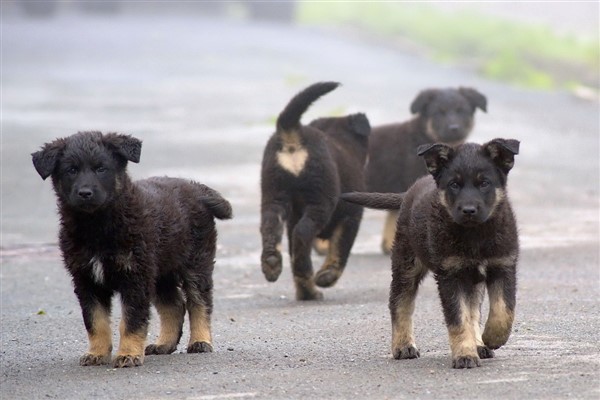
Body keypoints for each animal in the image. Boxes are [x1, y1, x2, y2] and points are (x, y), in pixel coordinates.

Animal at [29, 132, 232, 368]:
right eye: (71, 170)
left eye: (101, 169)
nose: (85, 193)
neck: (97, 226)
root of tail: (197, 188)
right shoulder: (86, 279)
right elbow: (95, 321)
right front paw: (97, 353)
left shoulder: (135, 276)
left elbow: (131, 320)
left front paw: (128, 354)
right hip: (160, 271)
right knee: (174, 305)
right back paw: (164, 344)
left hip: (195, 263)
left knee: (200, 302)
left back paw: (200, 341)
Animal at [258, 81, 368, 300]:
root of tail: (293, 133)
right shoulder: (352, 216)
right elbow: (340, 249)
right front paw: (327, 277)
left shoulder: (292, 218)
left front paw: (305, 291)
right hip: (320, 200)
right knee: (303, 234)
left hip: (274, 195)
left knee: (271, 226)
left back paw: (273, 263)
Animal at [342, 138, 520, 368]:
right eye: (454, 184)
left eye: (484, 183)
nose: (468, 210)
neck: (475, 235)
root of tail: (409, 192)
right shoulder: (449, 275)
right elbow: (458, 319)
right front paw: (465, 355)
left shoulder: (503, 266)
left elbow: (503, 310)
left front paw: (490, 338)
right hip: (406, 265)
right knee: (400, 303)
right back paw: (403, 346)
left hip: (471, 280)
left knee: (473, 310)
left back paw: (479, 344)